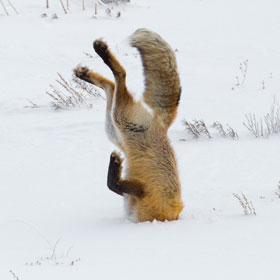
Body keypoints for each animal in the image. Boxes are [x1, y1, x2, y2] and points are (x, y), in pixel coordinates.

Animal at [74, 27, 184, 221]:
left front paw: (115, 163)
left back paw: (98, 56)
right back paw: (89, 67)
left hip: (120, 121)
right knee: (114, 83)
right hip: (117, 125)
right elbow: (112, 185)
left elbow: (113, 184)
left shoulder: (142, 193)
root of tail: (162, 125)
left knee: (118, 78)